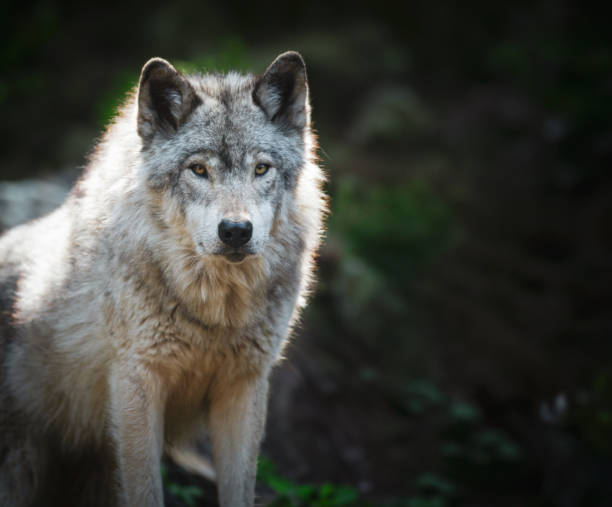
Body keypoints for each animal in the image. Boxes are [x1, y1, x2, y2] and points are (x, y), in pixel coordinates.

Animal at [0, 51, 326, 507]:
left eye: (262, 168)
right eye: (198, 169)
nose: (236, 231)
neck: (215, 312)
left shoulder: (244, 387)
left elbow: (239, 489)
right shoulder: (137, 382)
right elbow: (145, 490)